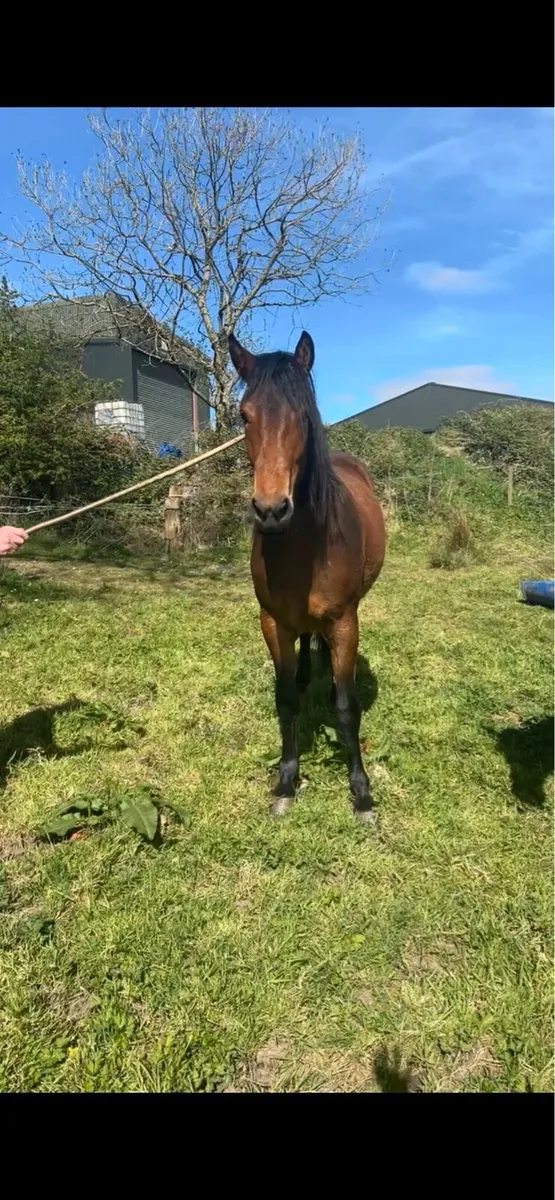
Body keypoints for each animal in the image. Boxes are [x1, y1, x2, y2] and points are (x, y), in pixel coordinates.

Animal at [228, 330, 386, 824]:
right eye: (244, 415)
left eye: (302, 414)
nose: (271, 509)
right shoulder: (272, 622)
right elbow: (286, 701)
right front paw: (286, 781)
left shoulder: (345, 622)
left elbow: (347, 708)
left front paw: (361, 792)